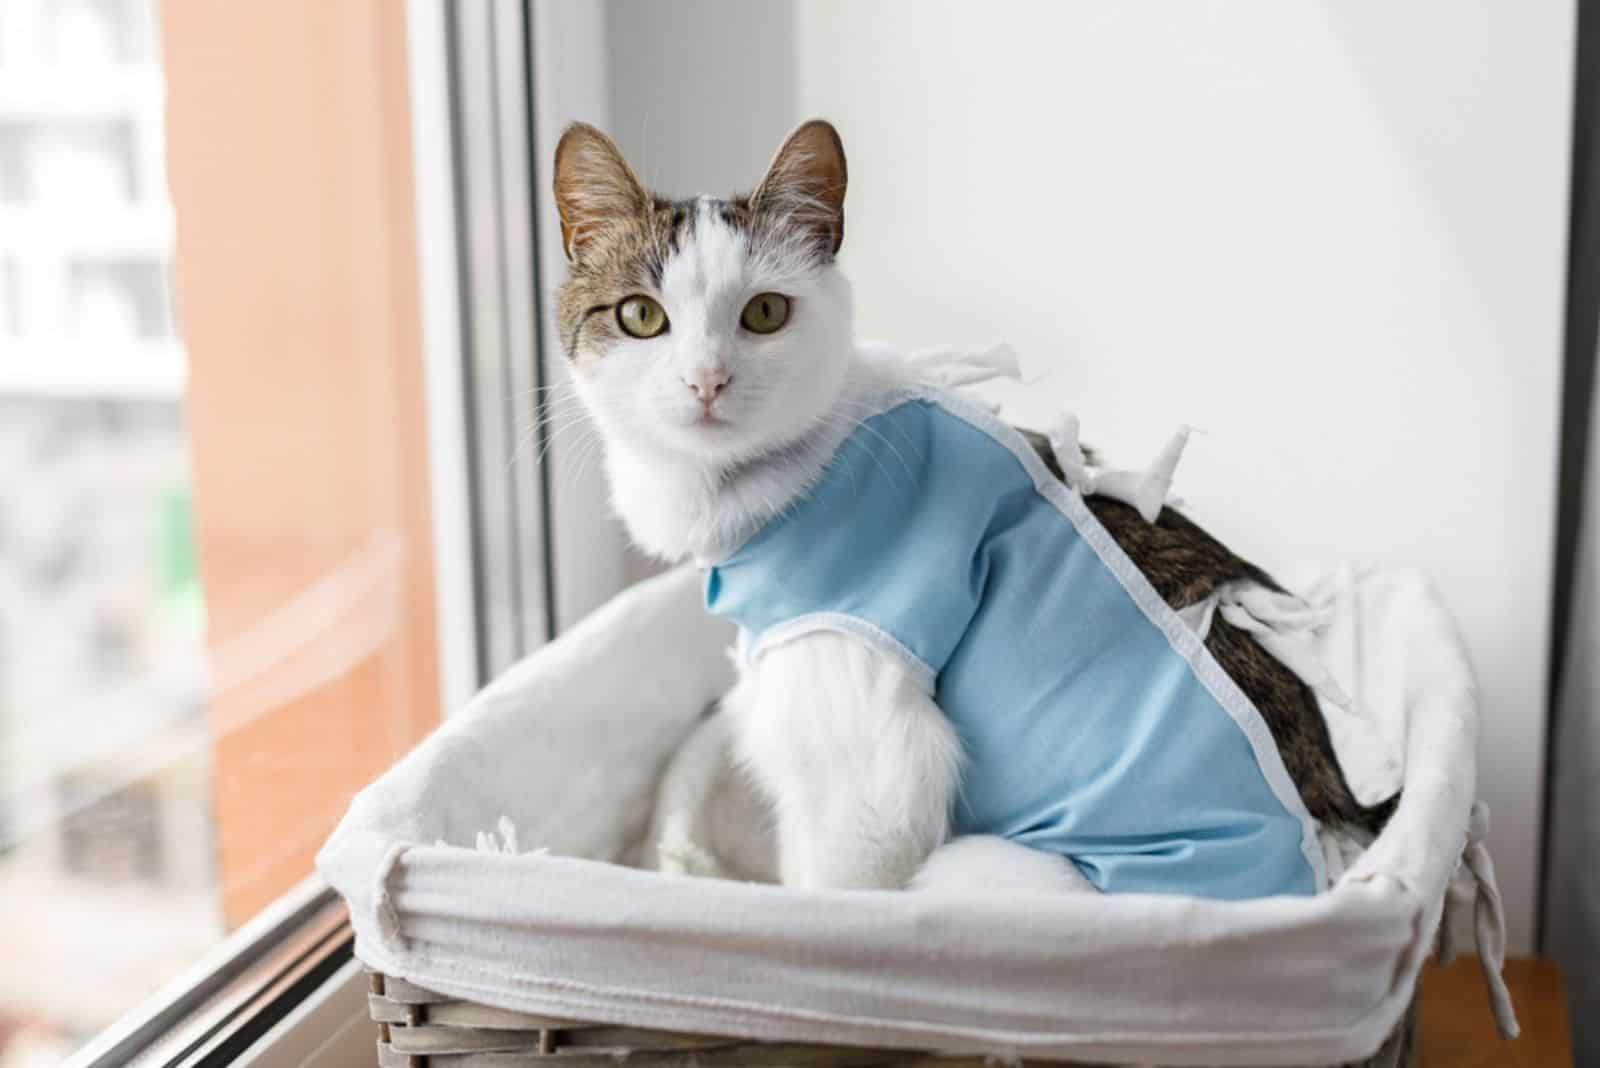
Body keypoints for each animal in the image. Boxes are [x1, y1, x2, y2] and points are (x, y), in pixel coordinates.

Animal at [553, 116, 1388, 895]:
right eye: (639, 317)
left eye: (763, 313)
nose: (706, 380)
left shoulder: (864, 748)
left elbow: (834, 889)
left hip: (991, 868)